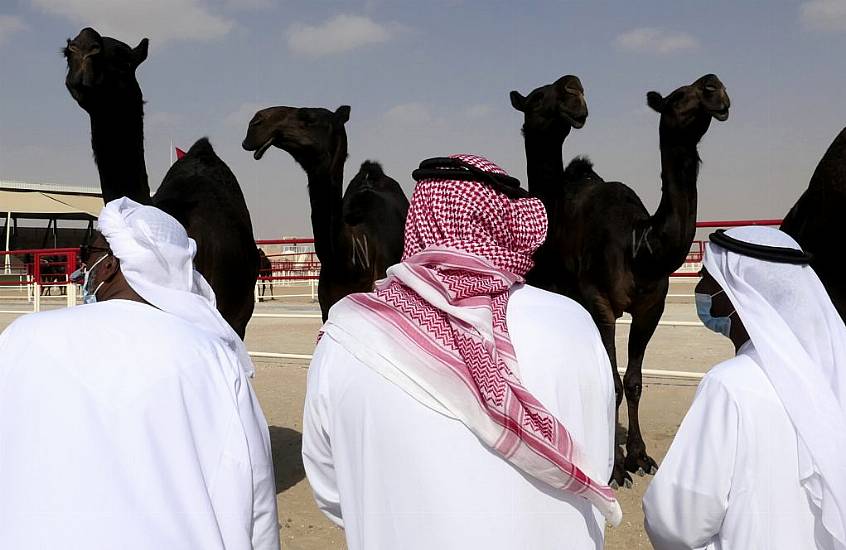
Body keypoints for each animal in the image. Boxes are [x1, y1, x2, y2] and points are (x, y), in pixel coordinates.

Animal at [512, 72, 732, 488]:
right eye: (679, 96)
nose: (715, 87)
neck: (640, 245)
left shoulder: (651, 307)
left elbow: (633, 380)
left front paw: (640, 456)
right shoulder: (599, 302)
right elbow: (611, 381)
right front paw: (614, 467)